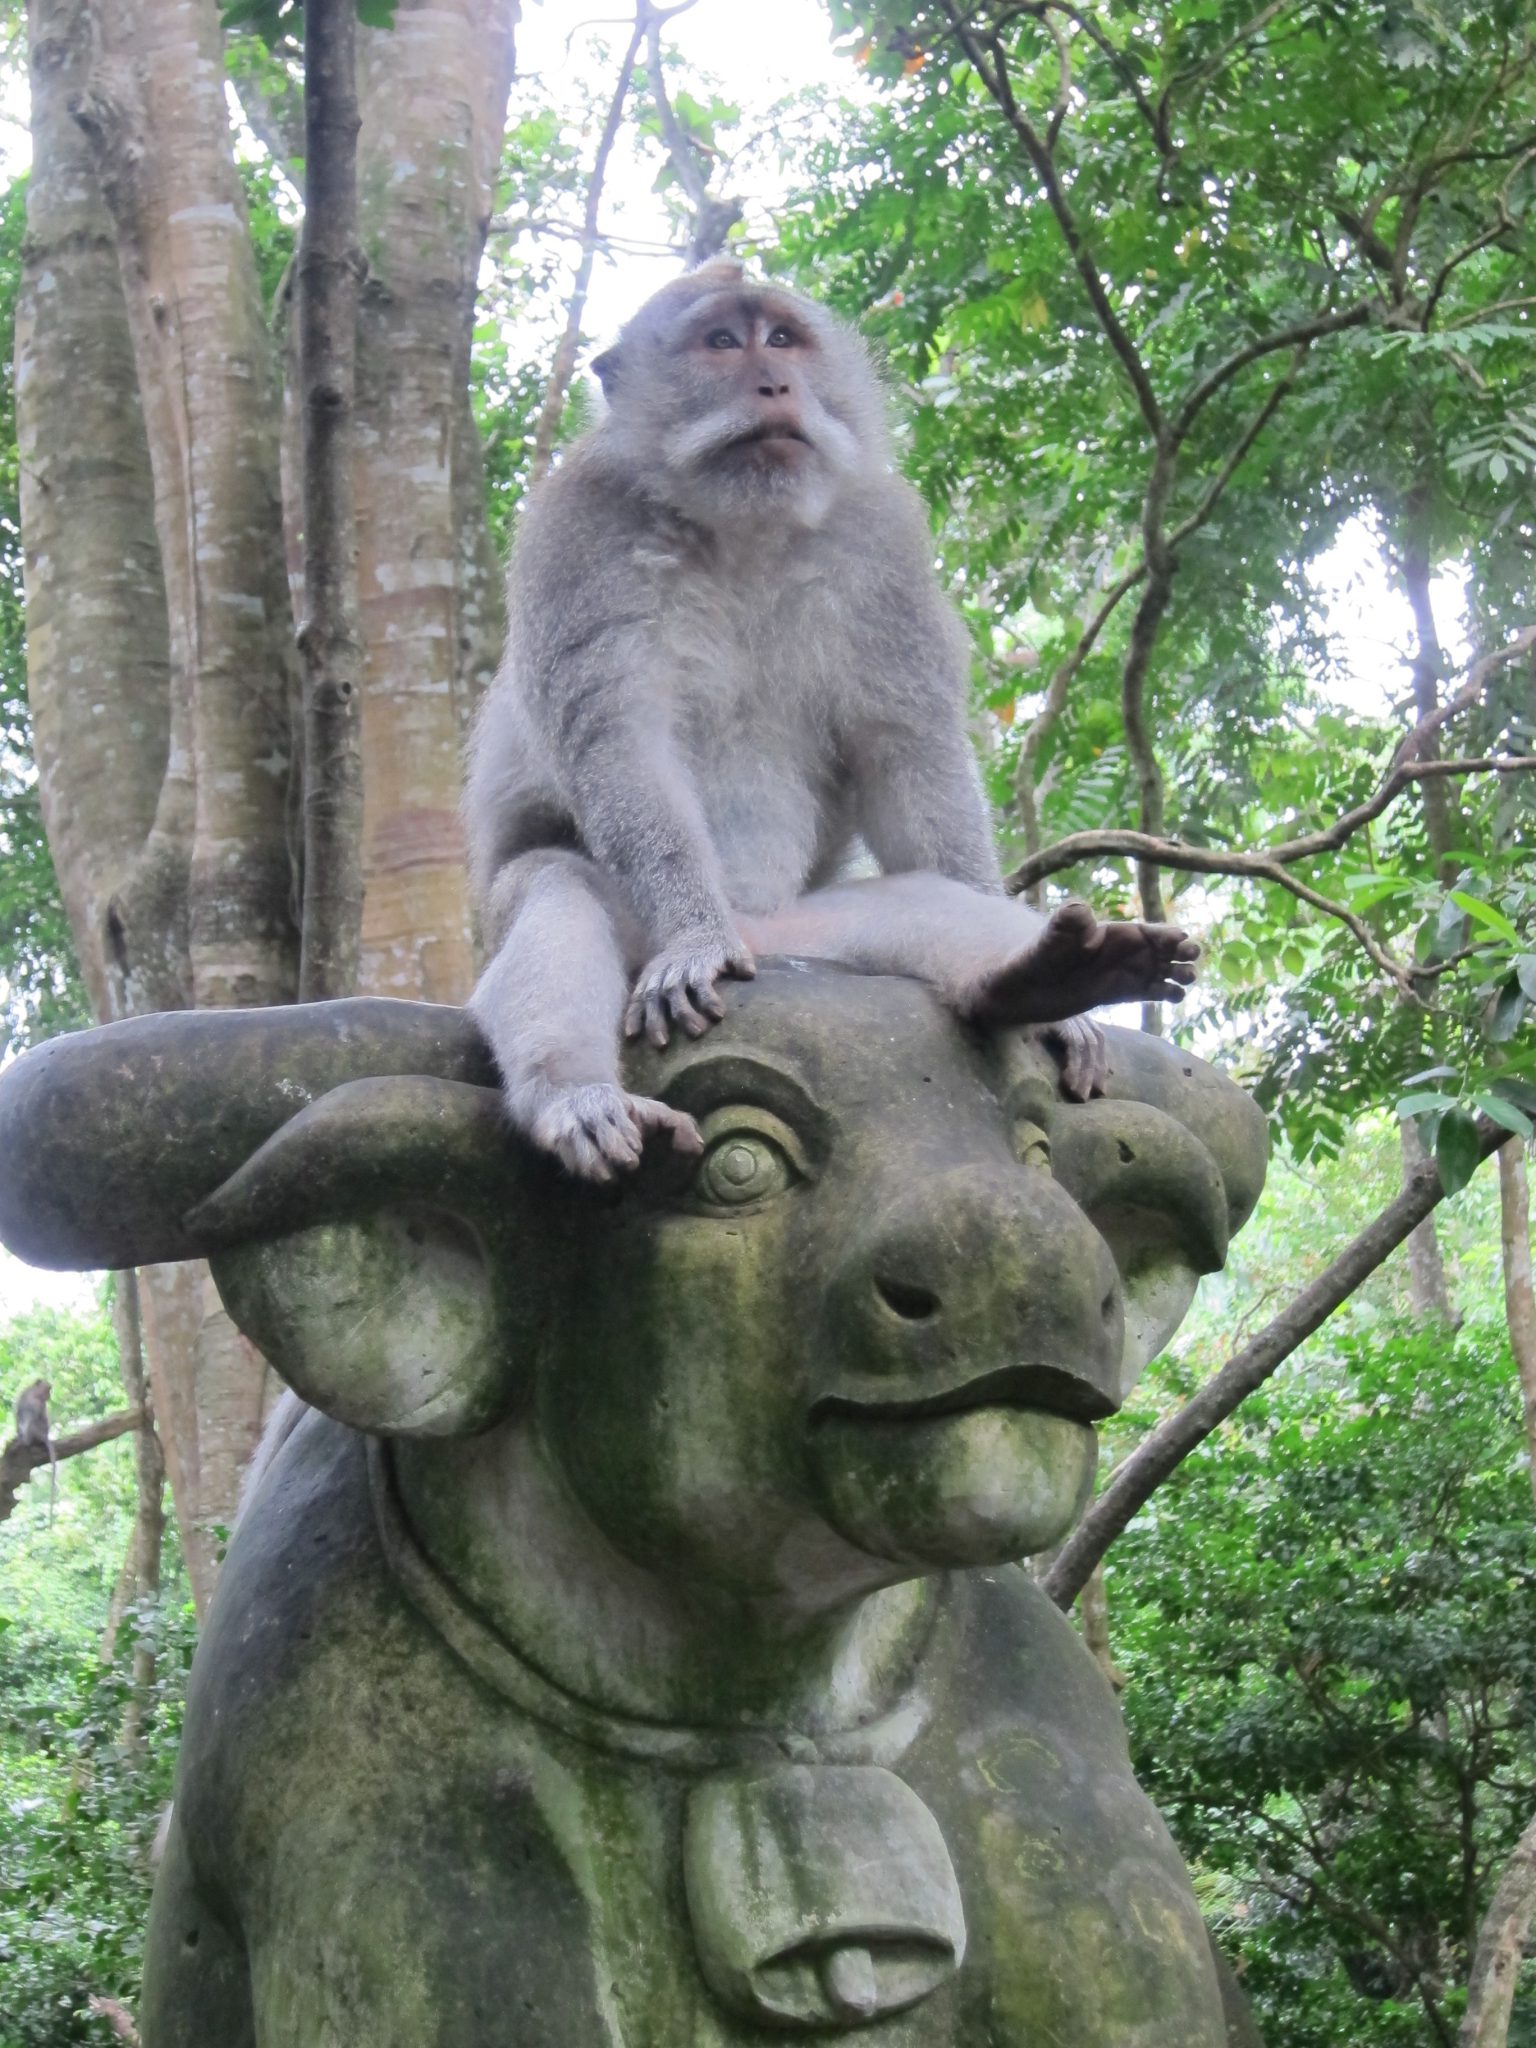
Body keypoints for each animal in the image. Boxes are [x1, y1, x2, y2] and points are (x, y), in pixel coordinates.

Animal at [13, 1376, 57, 1522]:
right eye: (48, 1388)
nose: (49, 1395)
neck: (34, 1395)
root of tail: (44, 1436)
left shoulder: (38, 1404)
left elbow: (35, 1417)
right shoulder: (24, 1398)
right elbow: (19, 1414)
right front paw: (18, 1434)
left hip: (38, 1432)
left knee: (32, 1422)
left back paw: (26, 1441)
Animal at [465, 259, 1198, 1180]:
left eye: (781, 338)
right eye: (721, 341)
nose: (777, 384)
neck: (740, 527)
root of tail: (761, 928)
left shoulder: (881, 539)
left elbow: (907, 752)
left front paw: (1058, 1007)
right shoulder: (579, 532)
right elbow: (621, 747)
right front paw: (693, 936)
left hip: (820, 935)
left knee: (925, 901)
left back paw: (1047, 979)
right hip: (661, 936)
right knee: (552, 890)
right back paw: (577, 1098)